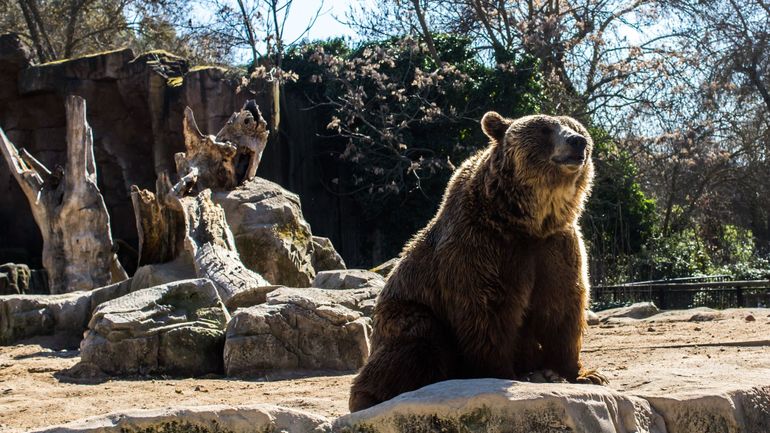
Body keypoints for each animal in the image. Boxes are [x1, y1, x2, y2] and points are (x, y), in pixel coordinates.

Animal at [348, 109, 608, 410]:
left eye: (576, 127)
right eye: (545, 129)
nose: (578, 142)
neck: (526, 220)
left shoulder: (556, 247)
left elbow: (563, 306)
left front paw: (585, 374)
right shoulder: (483, 247)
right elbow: (487, 310)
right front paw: (501, 373)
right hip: (406, 311)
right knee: (416, 340)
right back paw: (370, 397)